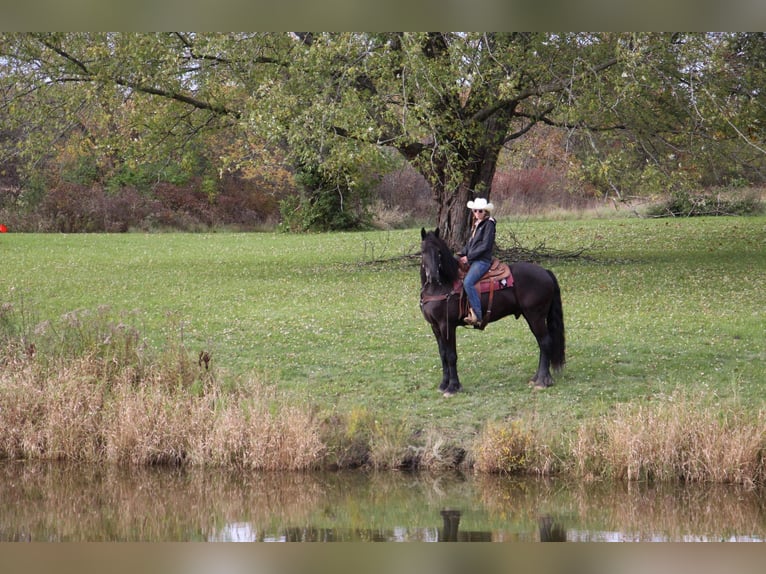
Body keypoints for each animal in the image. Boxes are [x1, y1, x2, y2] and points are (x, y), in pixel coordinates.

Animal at [420, 230, 564, 396]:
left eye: (439, 252)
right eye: (423, 251)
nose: (433, 277)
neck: (442, 286)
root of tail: (545, 272)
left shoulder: (447, 325)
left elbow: (451, 356)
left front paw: (453, 387)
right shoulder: (435, 326)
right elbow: (443, 354)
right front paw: (443, 384)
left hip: (536, 317)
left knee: (545, 342)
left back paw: (542, 381)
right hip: (532, 317)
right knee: (542, 343)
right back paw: (537, 378)